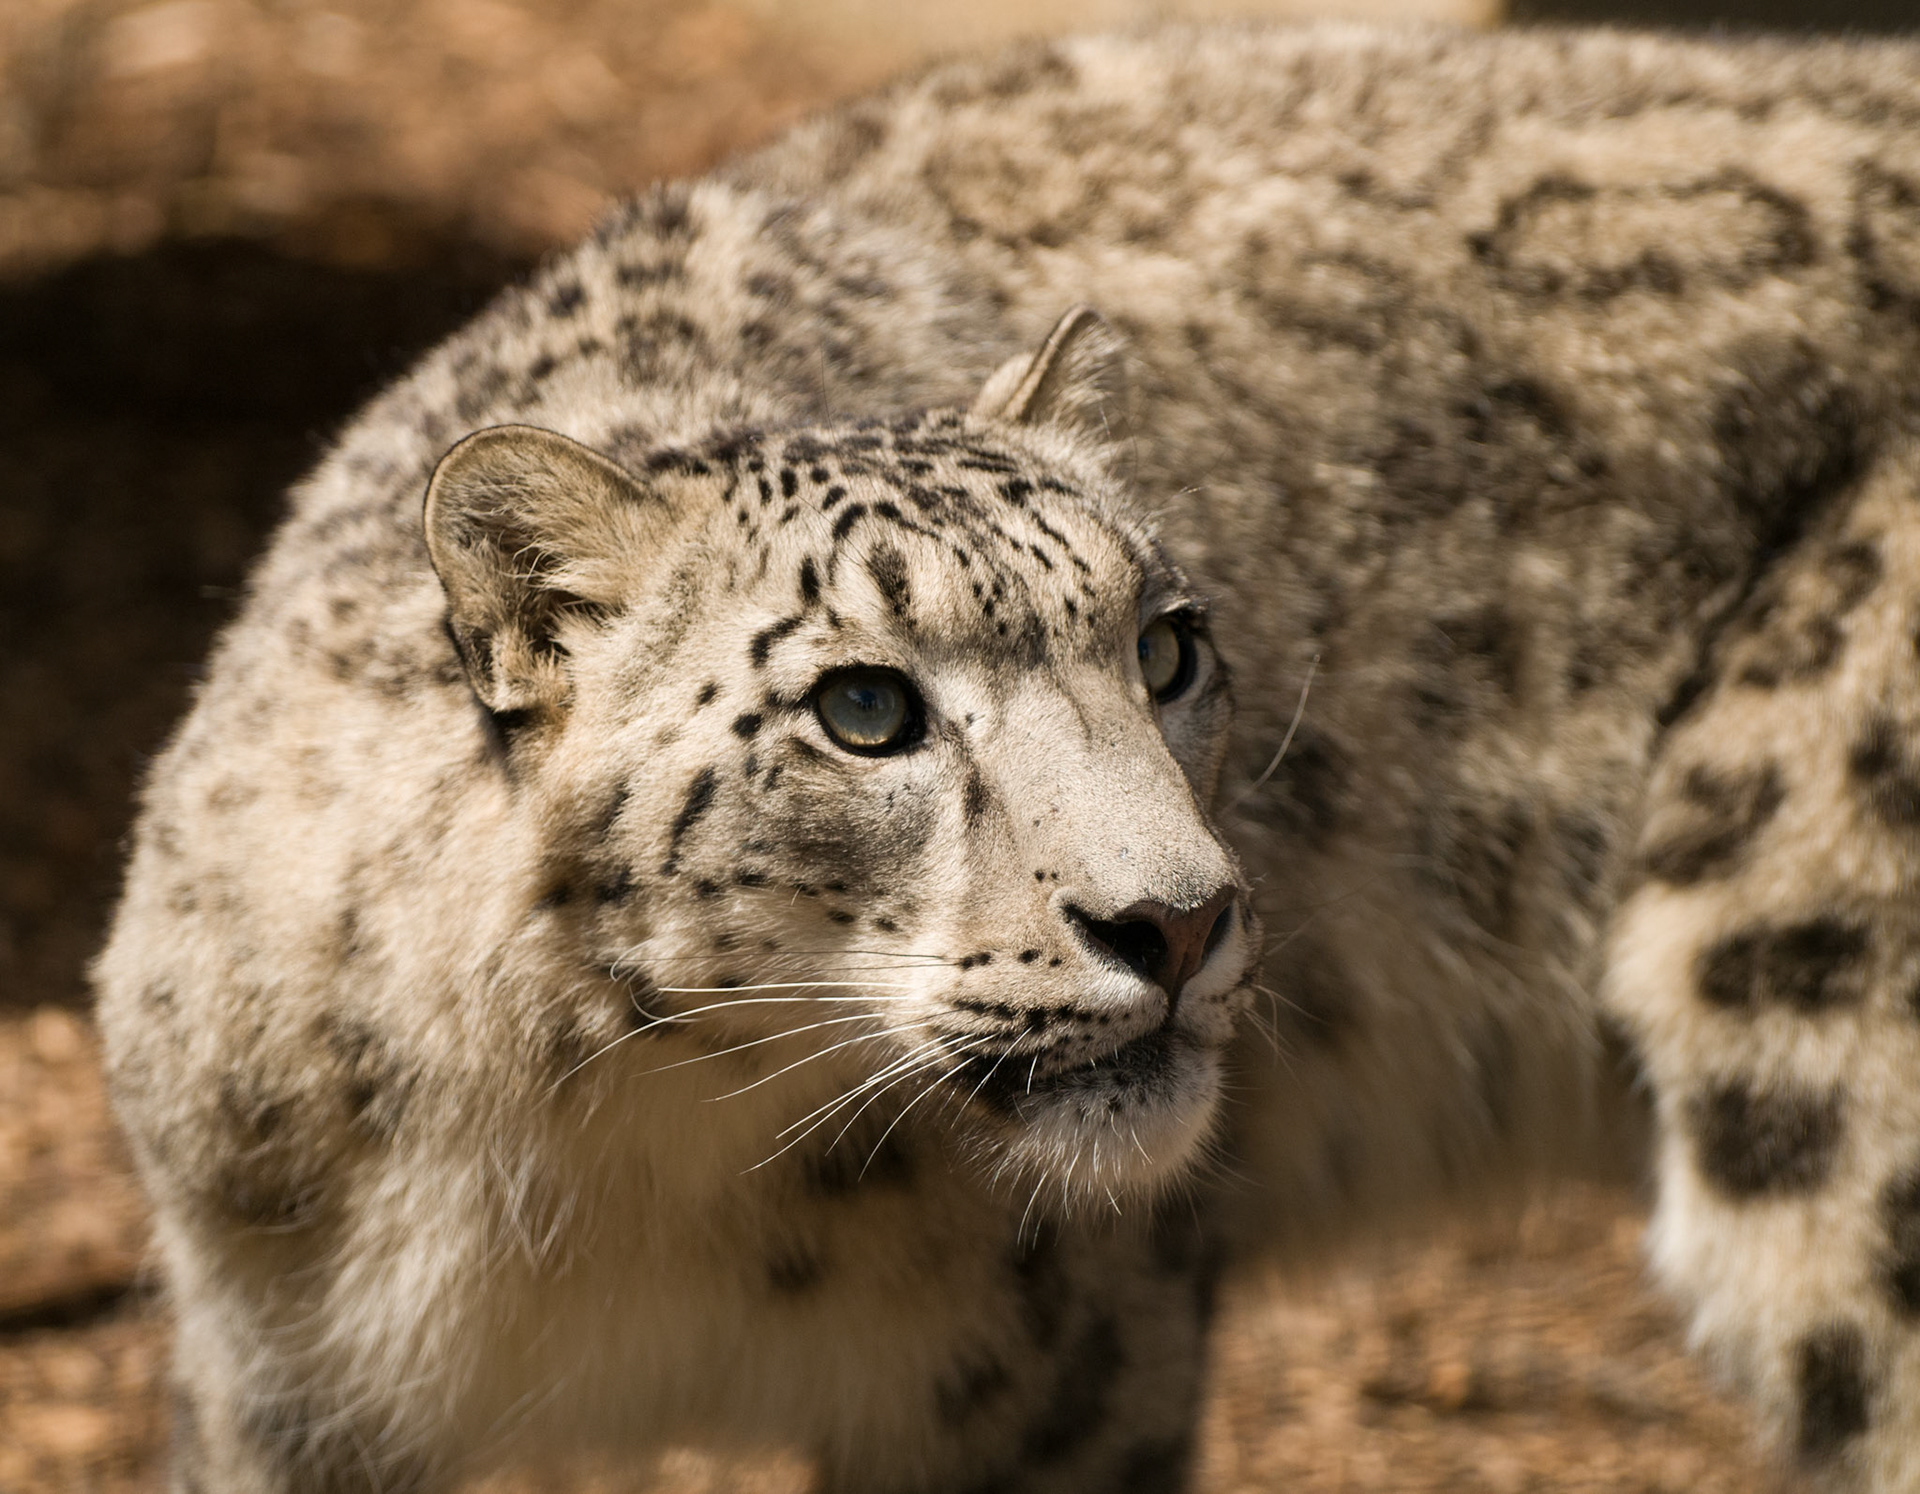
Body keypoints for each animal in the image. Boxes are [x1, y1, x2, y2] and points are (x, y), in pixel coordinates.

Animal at [92, 18, 1920, 1494]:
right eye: (866, 707)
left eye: (1166, 646)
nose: (1179, 921)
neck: (619, 1162)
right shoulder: (277, 1374)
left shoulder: (1058, 1372)